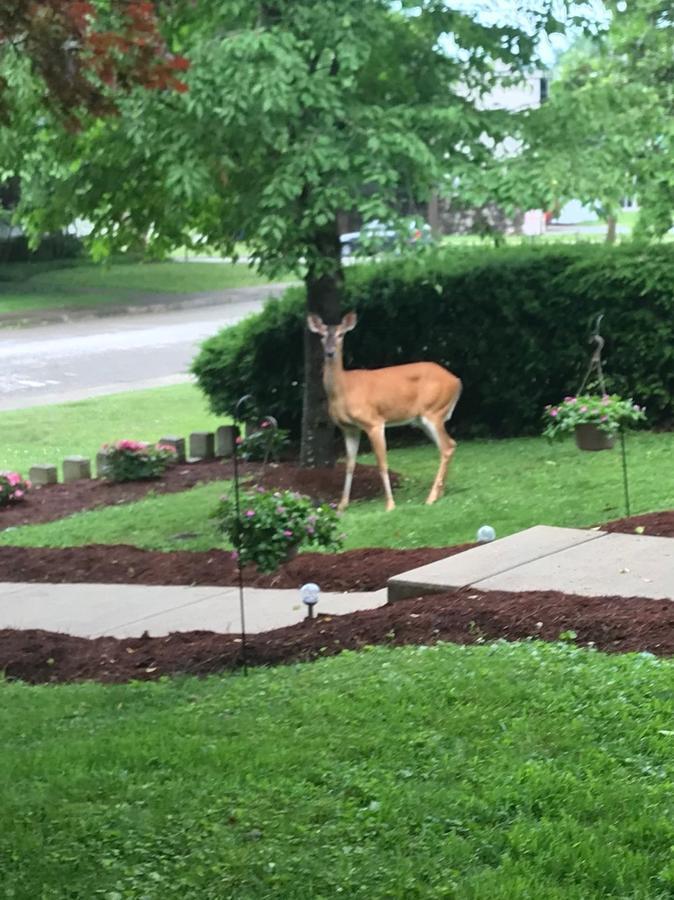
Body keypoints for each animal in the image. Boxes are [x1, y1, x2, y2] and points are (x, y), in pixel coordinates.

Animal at [306, 314, 460, 512]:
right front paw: (342, 505)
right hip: (424, 418)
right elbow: (349, 465)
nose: (330, 352)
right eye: (322, 335)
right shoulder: (349, 428)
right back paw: (439, 493)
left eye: (341, 334)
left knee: (447, 447)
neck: (343, 390)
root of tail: (457, 381)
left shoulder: (374, 422)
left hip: (433, 411)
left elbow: (382, 462)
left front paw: (390, 504)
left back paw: (431, 497)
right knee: (450, 445)